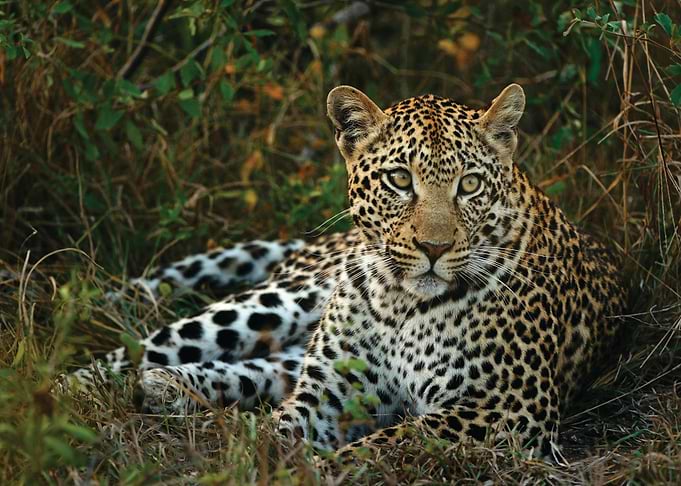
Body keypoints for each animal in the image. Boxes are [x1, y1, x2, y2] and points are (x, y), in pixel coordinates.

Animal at [65, 83, 625, 461]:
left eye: (469, 185)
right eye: (399, 179)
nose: (435, 247)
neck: (402, 304)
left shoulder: (505, 409)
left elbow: (386, 443)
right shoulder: (328, 395)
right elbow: (279, 433)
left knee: (256, 370)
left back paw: (166, 387)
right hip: (279, 301)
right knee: (152, 345)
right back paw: (70, 395)